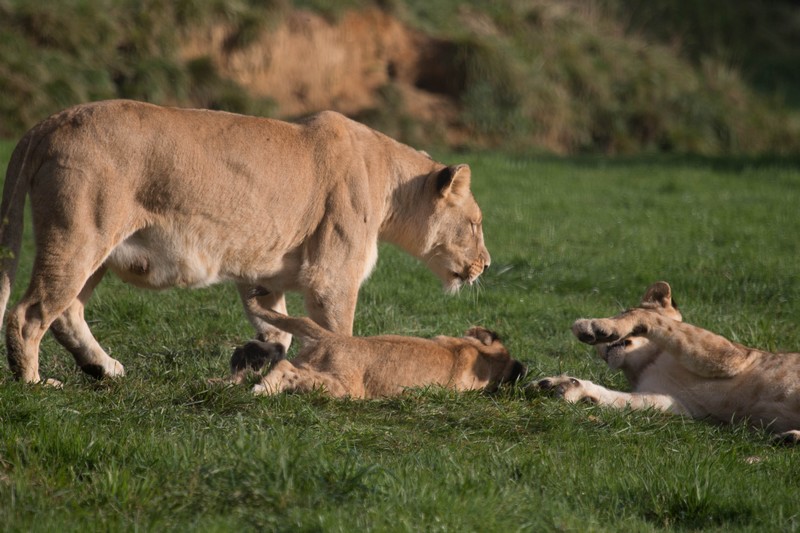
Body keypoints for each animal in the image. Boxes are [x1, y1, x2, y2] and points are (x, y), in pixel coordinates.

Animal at [536, 280, 800, 442]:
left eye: (618, 312)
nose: (601, 349)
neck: (644, 364)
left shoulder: (731, 356)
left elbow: (651, 317)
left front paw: (595, 327)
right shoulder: (679, 403)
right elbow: (619, 399)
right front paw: (565, 387)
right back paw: (789, 438)